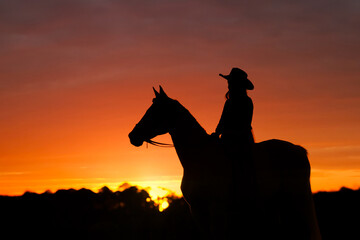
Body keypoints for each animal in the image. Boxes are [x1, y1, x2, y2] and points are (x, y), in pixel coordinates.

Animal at [129, 86, 320, 240]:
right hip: (275, 202)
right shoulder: (198, 211)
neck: (199, 159)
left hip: (298, 198)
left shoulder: (217, 211)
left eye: (155, 111)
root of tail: (298, 150)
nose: (133, 136)